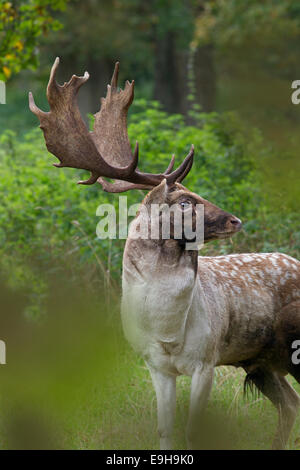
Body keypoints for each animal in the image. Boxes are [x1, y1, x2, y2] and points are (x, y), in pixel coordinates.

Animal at [29, 59, 300, 452]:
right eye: (185, 201)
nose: (235, 220)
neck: (168, 329)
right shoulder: (156, 366)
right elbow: (165, 429)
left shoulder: (206, 360)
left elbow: (193, 430)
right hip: (259, 361)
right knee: (290, 404)